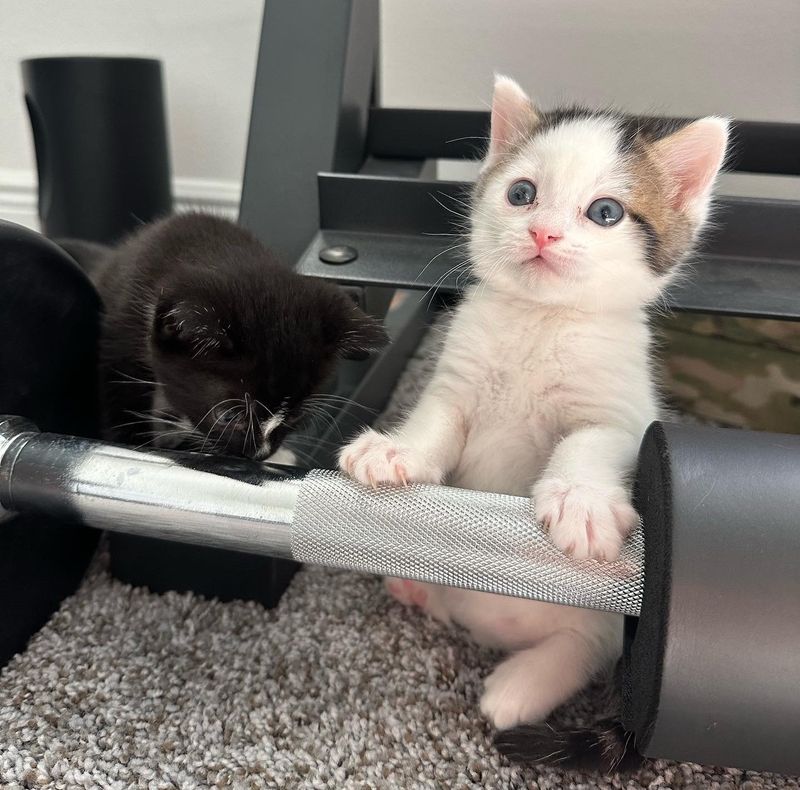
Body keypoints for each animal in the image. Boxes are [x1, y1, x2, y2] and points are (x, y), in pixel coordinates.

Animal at [340, 76, 732, 732]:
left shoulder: (623, 411)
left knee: (584, 647)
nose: (543, 232)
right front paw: (395, 452)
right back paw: (419, 590)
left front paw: (581, 502)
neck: (541, 320)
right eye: (522, 193)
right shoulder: (457, 379)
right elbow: (437, 419)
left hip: (604, 623)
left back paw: (519, 687)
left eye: (606, 212)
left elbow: (592, 439)